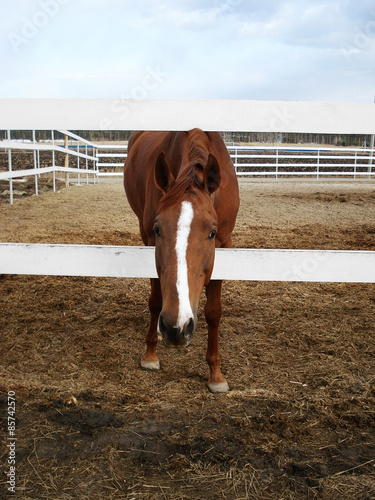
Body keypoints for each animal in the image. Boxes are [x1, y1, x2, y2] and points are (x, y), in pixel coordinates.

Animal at [124, 128, 241, 390]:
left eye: (212, 232)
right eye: (158, 229)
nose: (176, 327)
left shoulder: (224, 245)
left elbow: (214, 312)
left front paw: (216, 375)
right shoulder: (149, 240)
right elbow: (156, 301)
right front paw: (150, 355)